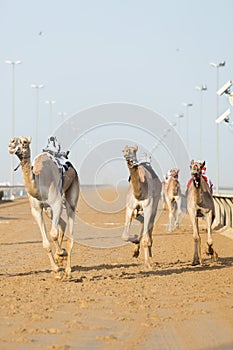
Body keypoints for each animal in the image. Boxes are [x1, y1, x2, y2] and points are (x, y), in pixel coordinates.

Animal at [8, 135, 79, 278]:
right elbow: (46, 243)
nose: (11, 144)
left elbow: (53, 234)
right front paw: (56, 269)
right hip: (48, 210)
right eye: (13, 140)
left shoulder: (56, 203)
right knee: (62, 224)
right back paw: (60, 260)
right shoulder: (36, 210)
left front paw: (61, 254)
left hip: (72, 193)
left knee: (70, 232)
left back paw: (68, 269)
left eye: (25, 142)